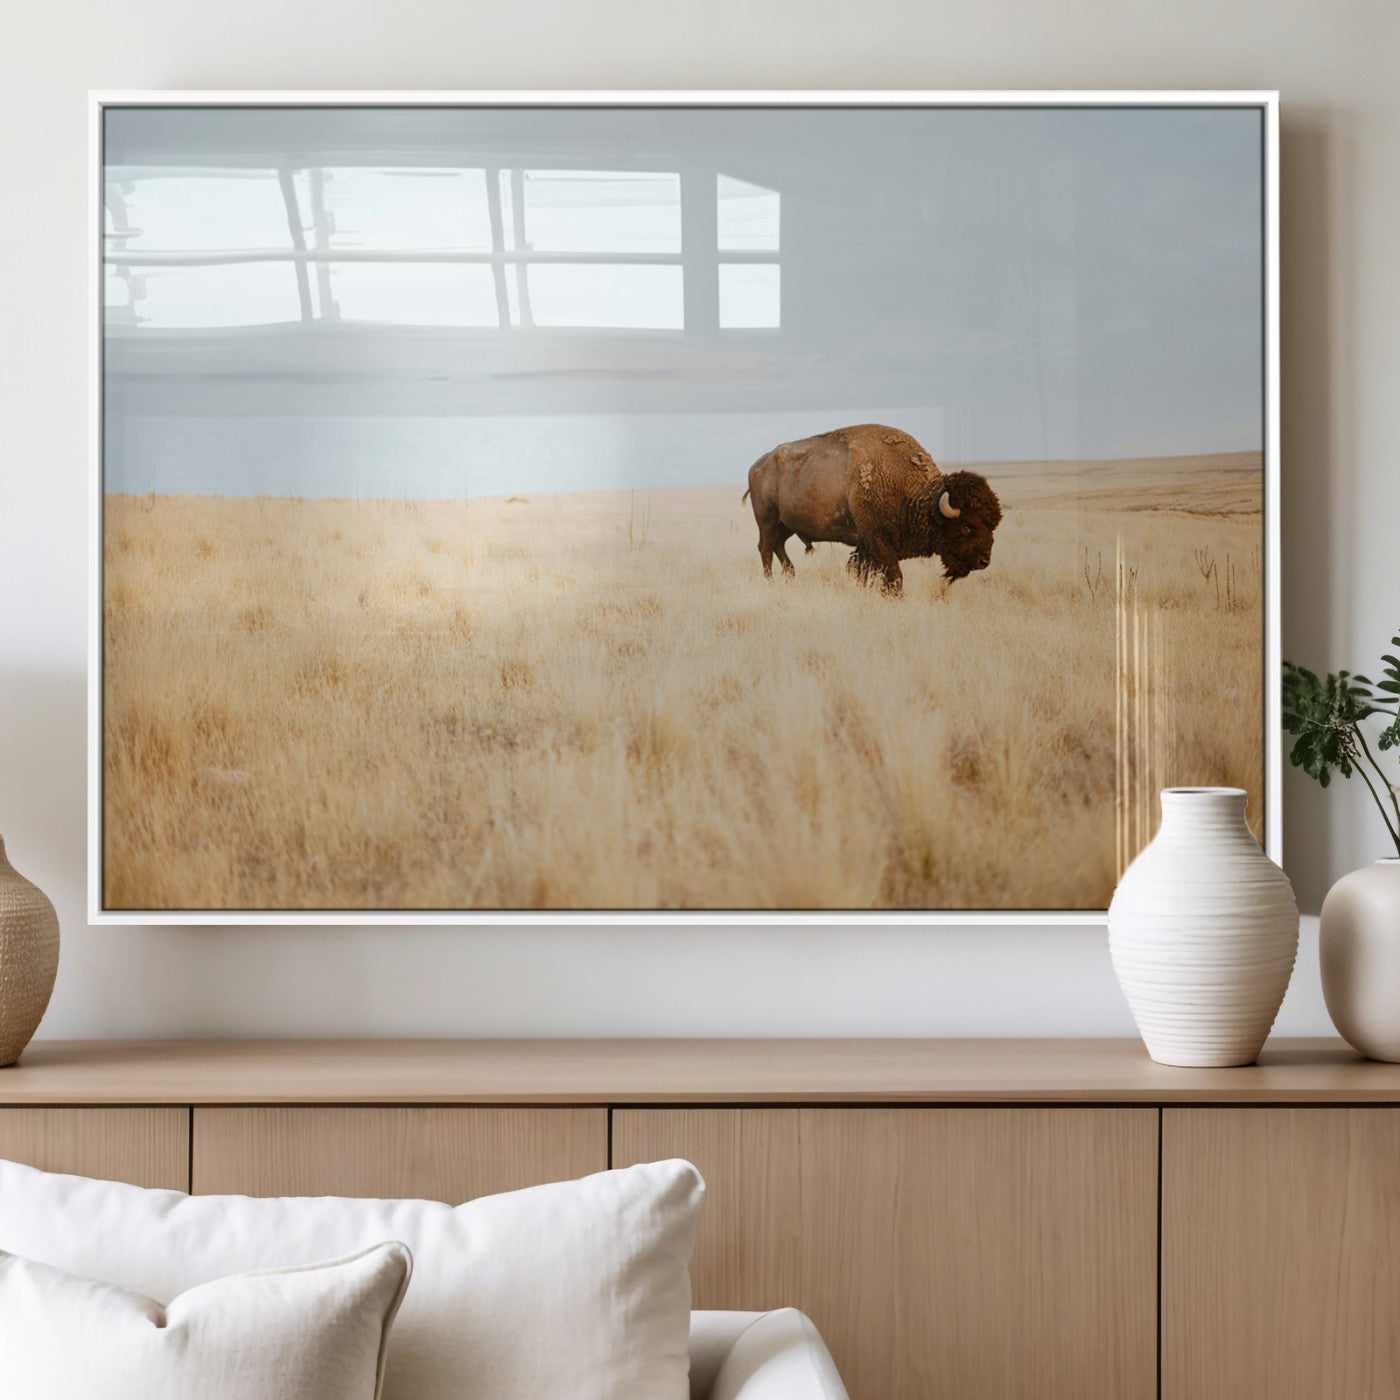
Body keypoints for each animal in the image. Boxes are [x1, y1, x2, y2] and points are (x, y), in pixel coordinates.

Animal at [742, 424, 1002, 595]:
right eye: (967, 527)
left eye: (993, 525)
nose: (984, 561)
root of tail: (756, 465)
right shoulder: (879, 541)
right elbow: (893, 576)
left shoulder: (866, 546)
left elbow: (863, 571)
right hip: (767, 520)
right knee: (766, 548)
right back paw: (771, 582)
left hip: (786, 524)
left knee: (778, 546)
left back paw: (791, 576)